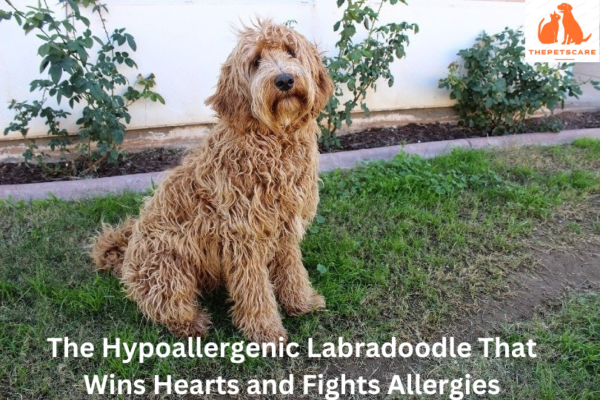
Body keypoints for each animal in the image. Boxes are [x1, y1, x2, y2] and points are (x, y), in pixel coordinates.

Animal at [90, 19, 332, 344]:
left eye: (291, 51)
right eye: (256, 61)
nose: (284, 80)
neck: (271, 140)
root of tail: (126, 255)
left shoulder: (285, 227)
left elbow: (292, 268)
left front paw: (301, 302)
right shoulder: (244, 237)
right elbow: (255, 289)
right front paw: (266, 331)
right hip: (168, 267)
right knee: (163, 305)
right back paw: (193, 322)